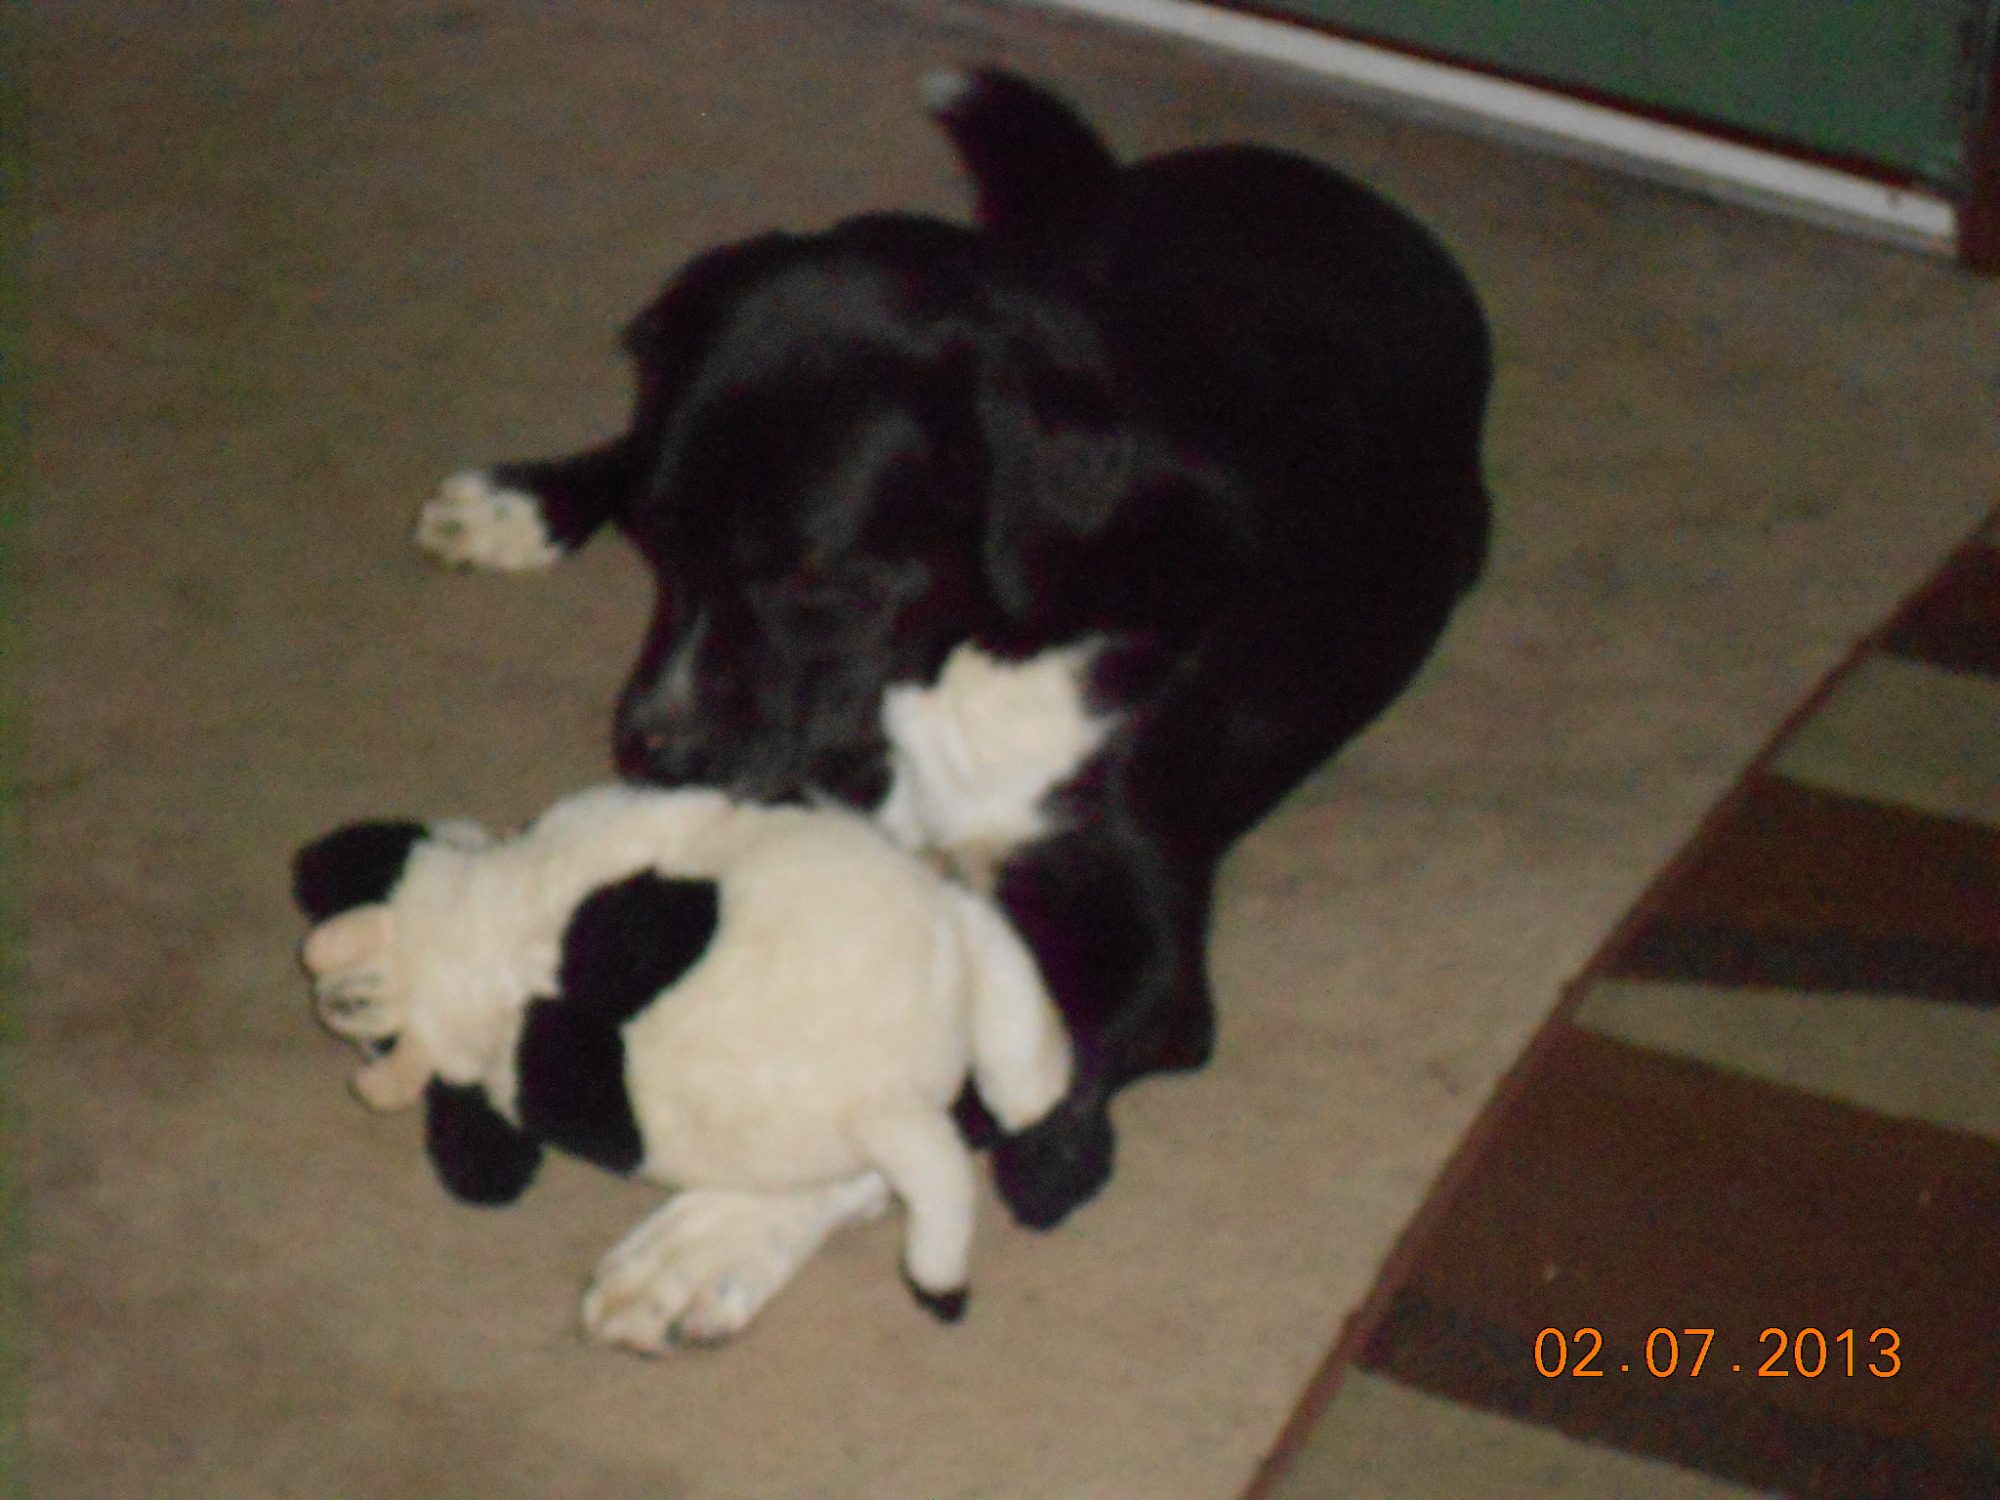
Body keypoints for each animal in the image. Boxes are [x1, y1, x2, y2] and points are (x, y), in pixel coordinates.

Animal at [416, 67, 1491, 1319]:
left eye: (815, 574)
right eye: (661, 545)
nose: (654, 751)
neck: (985, 636)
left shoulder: (1139, 955)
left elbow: (944, 1100)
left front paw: (718, 1237)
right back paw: (519, 500)